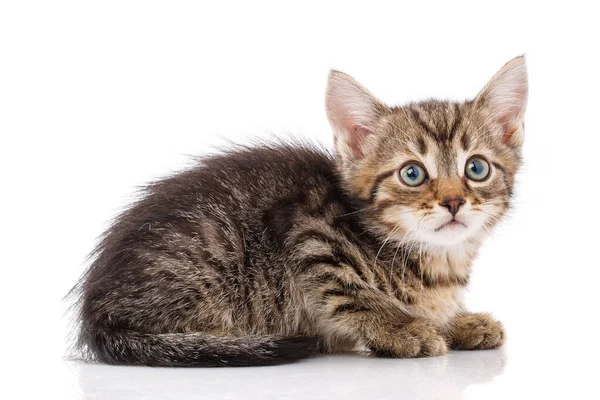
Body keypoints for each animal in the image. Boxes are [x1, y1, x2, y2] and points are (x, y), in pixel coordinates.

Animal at [70, 55, 528, 366]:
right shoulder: (309, 234)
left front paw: (460, 321)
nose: (453, 201)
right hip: (213, 250)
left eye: (476, 168)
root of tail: (96, 314)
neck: (435, 262)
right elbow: (352, 294)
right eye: (412, 173)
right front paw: (402, 327)